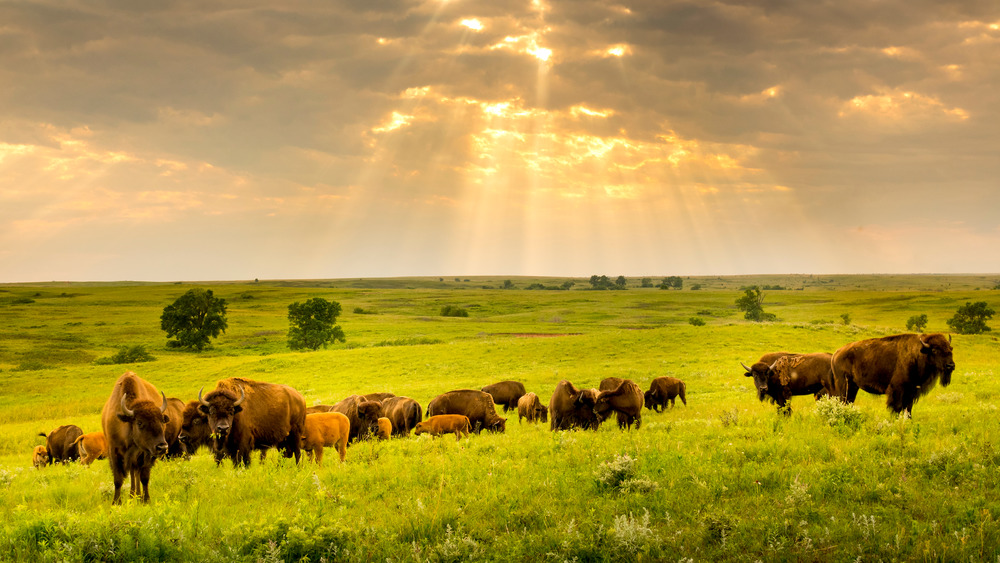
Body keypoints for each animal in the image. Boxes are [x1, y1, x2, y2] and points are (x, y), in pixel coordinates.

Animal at [100, 372, 169, 504]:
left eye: (162, 421)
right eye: (139, 422)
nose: (162, 447)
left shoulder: (146, 454)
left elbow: (144, 477)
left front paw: (146, 500)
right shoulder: (113, 451)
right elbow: (118, 480)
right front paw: (116, 502)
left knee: (136, 474)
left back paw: (136, 495)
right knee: (133, 473)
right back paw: (133, 495)